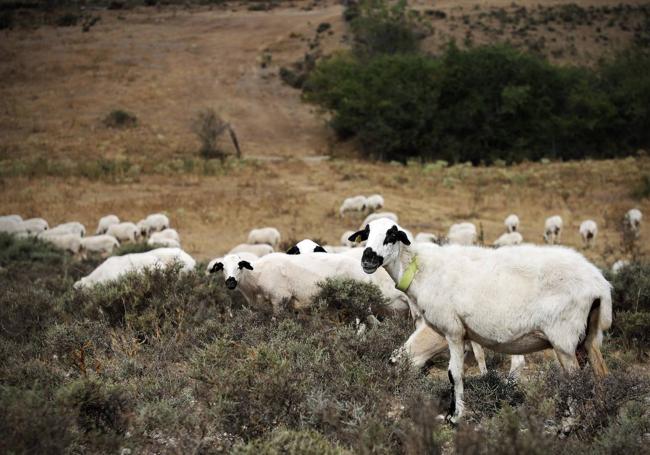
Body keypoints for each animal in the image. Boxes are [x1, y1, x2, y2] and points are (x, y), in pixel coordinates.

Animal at [346, 219, 612, 422]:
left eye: (391, 235)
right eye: (366, 234)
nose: (368, 259)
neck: (420, 268)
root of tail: (599, 283)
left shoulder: (453, 330)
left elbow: (454, 374)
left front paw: (455, 417)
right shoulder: (464, 334)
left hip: (564, 339)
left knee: (575, 381)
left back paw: (568, 423)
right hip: (589, 337)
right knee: (602, 375)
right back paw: (602, 413)